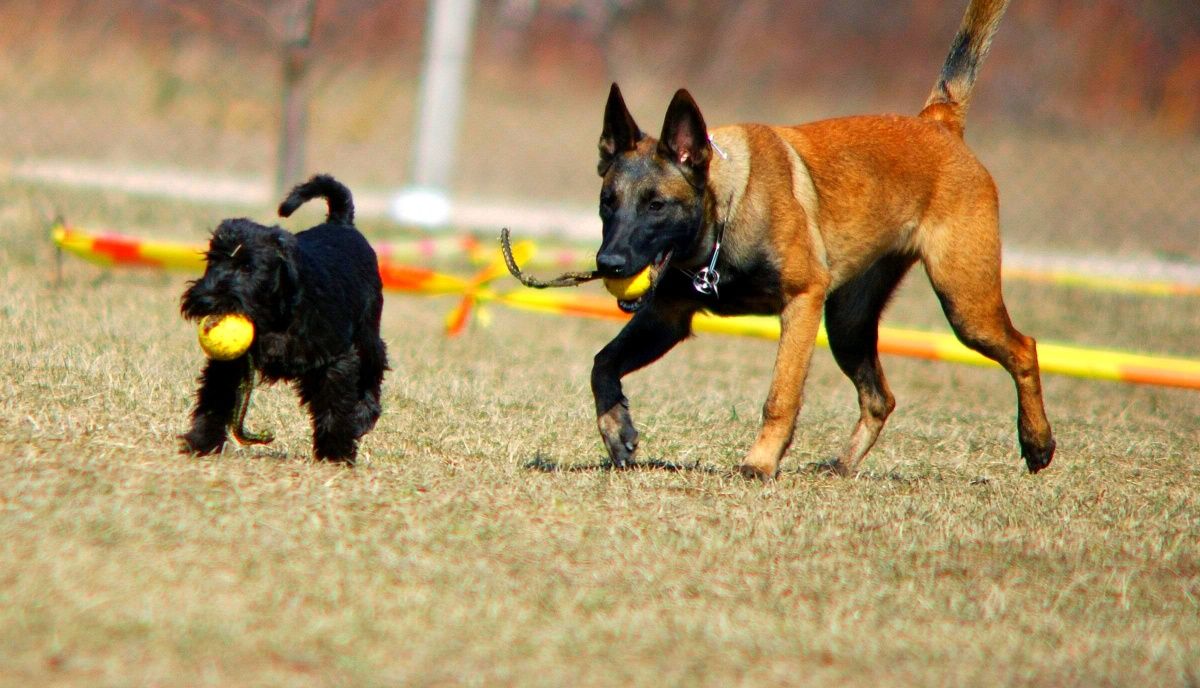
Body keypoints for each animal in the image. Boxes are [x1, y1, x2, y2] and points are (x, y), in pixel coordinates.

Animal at [180, 171, 386, 463]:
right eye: (212, 260)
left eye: (248, 267)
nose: (205, 299)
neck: (275, 314)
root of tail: (342, 223)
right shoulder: (232, 364)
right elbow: (214, 399)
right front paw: (202, 441)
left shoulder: (336, 360)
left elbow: (335, 407)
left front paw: (336, 453)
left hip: (367, 335)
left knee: (374, 369)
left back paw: (363, 417)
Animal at [588, 0, 1051, 480]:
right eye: (608, 201)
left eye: (657, 205)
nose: (609, 263)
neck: (724, 214)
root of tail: (936, 122)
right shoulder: (667, 316)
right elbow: (602, 363)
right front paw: (617, 430)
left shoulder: (802, 301)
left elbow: (781, 395)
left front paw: (760, 462)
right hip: (847, 323)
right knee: (880, 399)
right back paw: (842, 466)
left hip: (965, 304)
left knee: (1025, 349)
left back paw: (1037, 442)